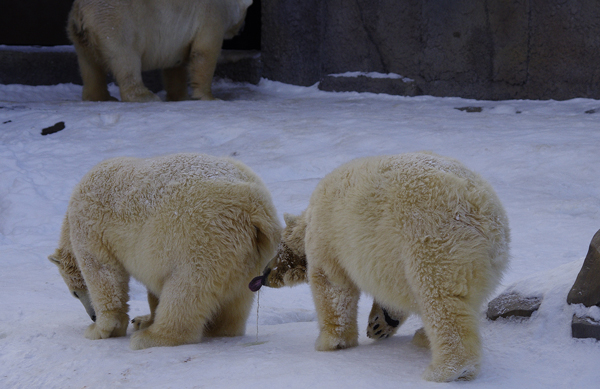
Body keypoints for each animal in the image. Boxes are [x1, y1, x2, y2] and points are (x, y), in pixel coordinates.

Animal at [48, 153, 280, 350]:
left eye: (75, 292)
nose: (92, 317)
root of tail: (255, 206)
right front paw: (142, 319)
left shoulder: (89, 224)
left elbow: (103, 272)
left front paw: (100, 329)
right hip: (249, 256)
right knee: (237, 301)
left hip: (203, 239)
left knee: (186, 289)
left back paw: (150, 337)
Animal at [67, 0, 251, 101]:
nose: (243, 29)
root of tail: (81, 11)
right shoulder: (212, 14)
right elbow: (204, 52)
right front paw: (209, 97)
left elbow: (175, 65)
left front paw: (180, 96)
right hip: (115, 21)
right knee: (125, 58)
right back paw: (145, 96)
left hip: (80, 34)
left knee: (89, 64)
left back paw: (100, 96)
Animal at [248, 152, 506, 382]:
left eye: (278, 249)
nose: (264, 275)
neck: (310, 218)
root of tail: (484, 214)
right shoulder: (387, 258)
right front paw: (379, 324)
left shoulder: (329, 238)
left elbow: (332, 286)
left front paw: (329, 342)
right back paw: (423, 338)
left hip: (434, 240)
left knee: (440, 299)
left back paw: (446, 369)